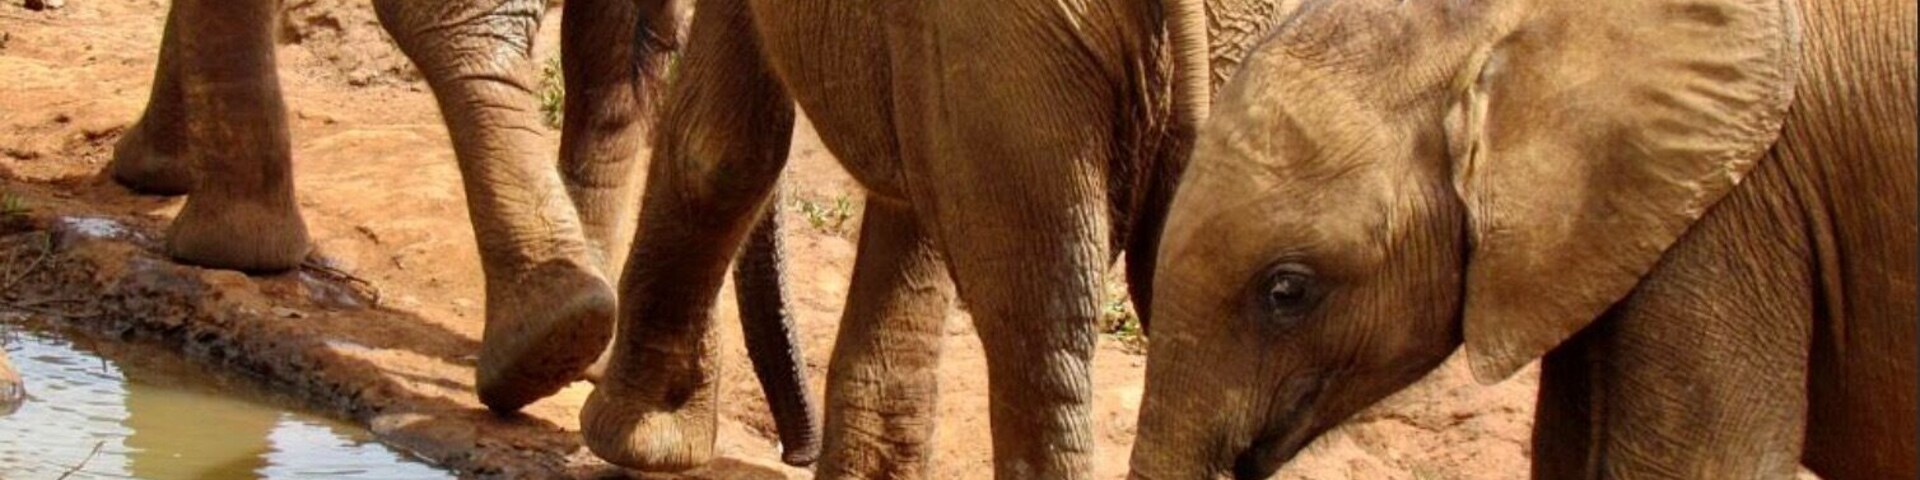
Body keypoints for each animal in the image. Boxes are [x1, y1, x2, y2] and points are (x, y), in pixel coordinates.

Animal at [105, 0, 820, 464]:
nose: (798, 457)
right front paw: (155, 174)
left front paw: (187, 213)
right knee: (607, 53)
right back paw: (567, 332)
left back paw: (552, 335)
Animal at [569, 0, 1271, 476]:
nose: (796, 453)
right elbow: (909, 202)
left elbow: (719, 148)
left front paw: (632, 443)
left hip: (1009, 61)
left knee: (1037, 336)